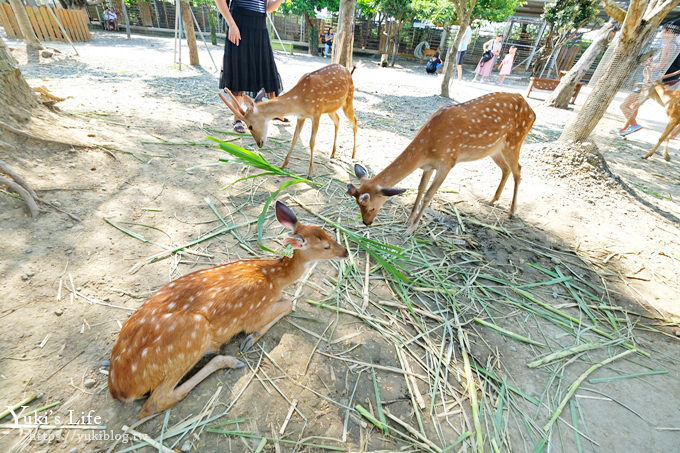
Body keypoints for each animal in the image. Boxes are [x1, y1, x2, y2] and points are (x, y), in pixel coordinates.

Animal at [110, 201, 350, 416]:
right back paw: (230, 360)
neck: (273, 278)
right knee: (154, 403)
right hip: (191, 339)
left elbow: (288, 300)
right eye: (326, 246)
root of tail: (120, 389)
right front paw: (250, 338)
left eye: (329, 234)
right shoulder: (255, 312)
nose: (346, 252)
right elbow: (289, 304)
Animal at [219, 63, 358, 177]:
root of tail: (349, 71)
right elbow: (294, 138)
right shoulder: (301, 116)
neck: (300, 101)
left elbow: (312, 142)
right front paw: (282, 166)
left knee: (354, 121)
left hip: (348, 99)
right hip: (331, 109)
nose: (259, 144)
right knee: (338, 120)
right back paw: (333, 153)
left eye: (250, 126)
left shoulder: (316, 113)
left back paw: (353, 154)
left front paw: (310, 174)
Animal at [348, 92, 532, 233]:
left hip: (514, 142)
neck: (428, 146)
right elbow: (420, 189)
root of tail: (531, 110)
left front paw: (412, 229)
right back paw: (493, 199)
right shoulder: (428, 166)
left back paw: (512, 212)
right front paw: (408, 220)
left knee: (518, 170)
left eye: (371, 207)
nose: (366, 222)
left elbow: (429, 194)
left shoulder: (447, 162)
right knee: (506, 169)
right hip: (494, 150)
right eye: (358, 205)